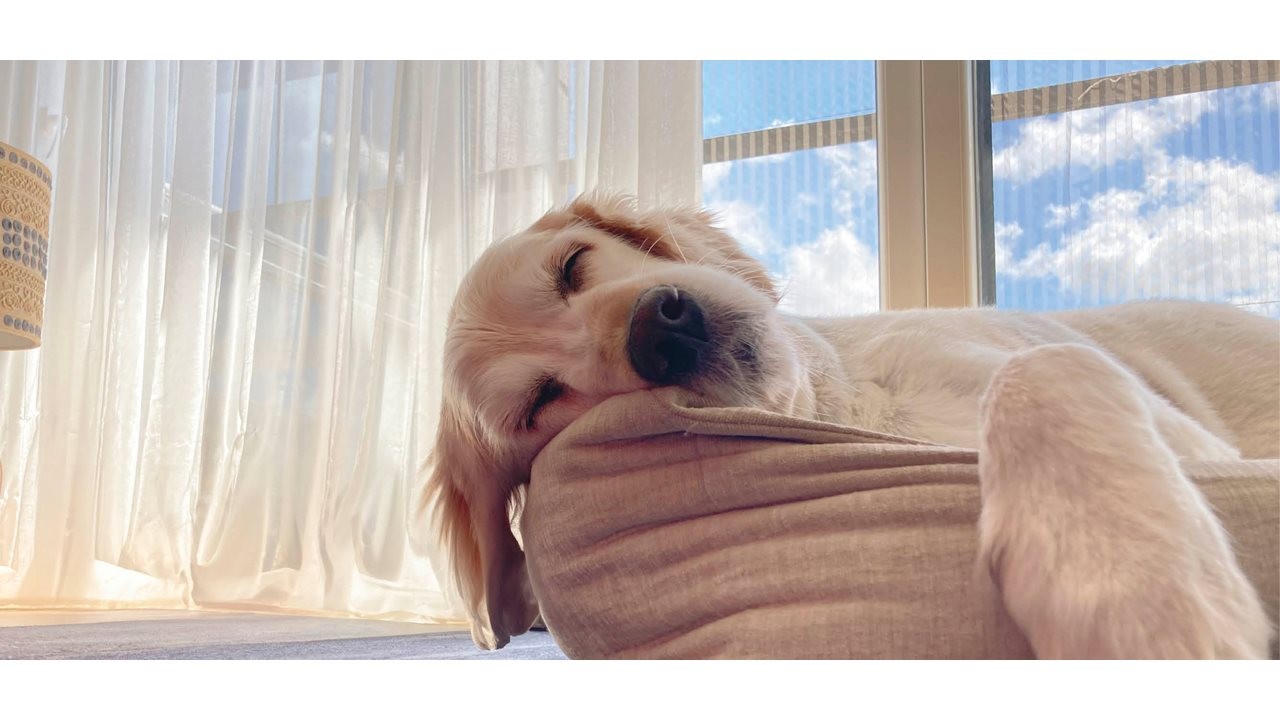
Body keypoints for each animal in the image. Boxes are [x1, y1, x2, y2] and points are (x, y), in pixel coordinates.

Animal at [424, 192, 1274, 655]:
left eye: (572, 265)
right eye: (540, 402)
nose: (663, 330)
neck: (863, 408)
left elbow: (1043, 366)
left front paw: (1145, 595)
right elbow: (1048, 366)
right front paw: (1135, 597)